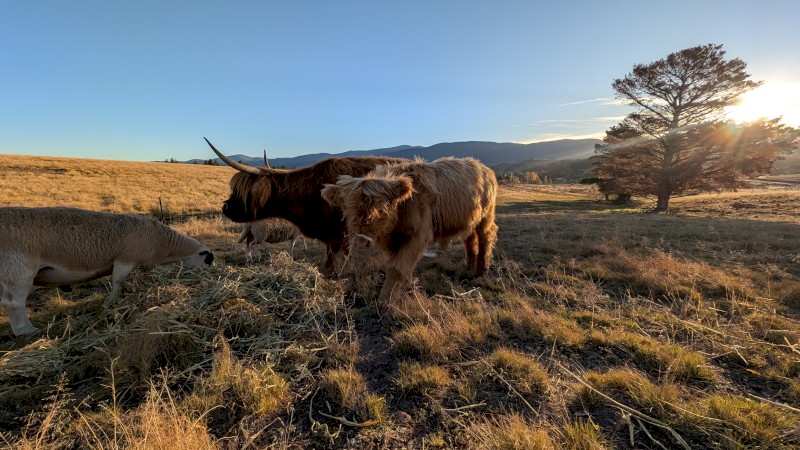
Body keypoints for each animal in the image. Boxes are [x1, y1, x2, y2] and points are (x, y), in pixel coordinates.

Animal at [0, 207, 214, 336]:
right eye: (208, 260)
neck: (164, 243)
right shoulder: (125, 260)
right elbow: (117, 285)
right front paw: (112, 305)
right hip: (18, 270)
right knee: (13, 304)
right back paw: (26, 330)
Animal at [321, 157, 498, 302]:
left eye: (380, 210)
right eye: (347, 209)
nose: (361, 241)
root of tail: (482, 166)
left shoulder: (418, 236)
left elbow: (397, 268)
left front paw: (385, 300)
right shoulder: (395, 241)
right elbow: (402, 266)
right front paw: (409, 285)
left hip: (486, 216)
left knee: (485, 237)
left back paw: (482, 269)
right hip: (471, 218)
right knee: (470, 237)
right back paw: (469, 265)